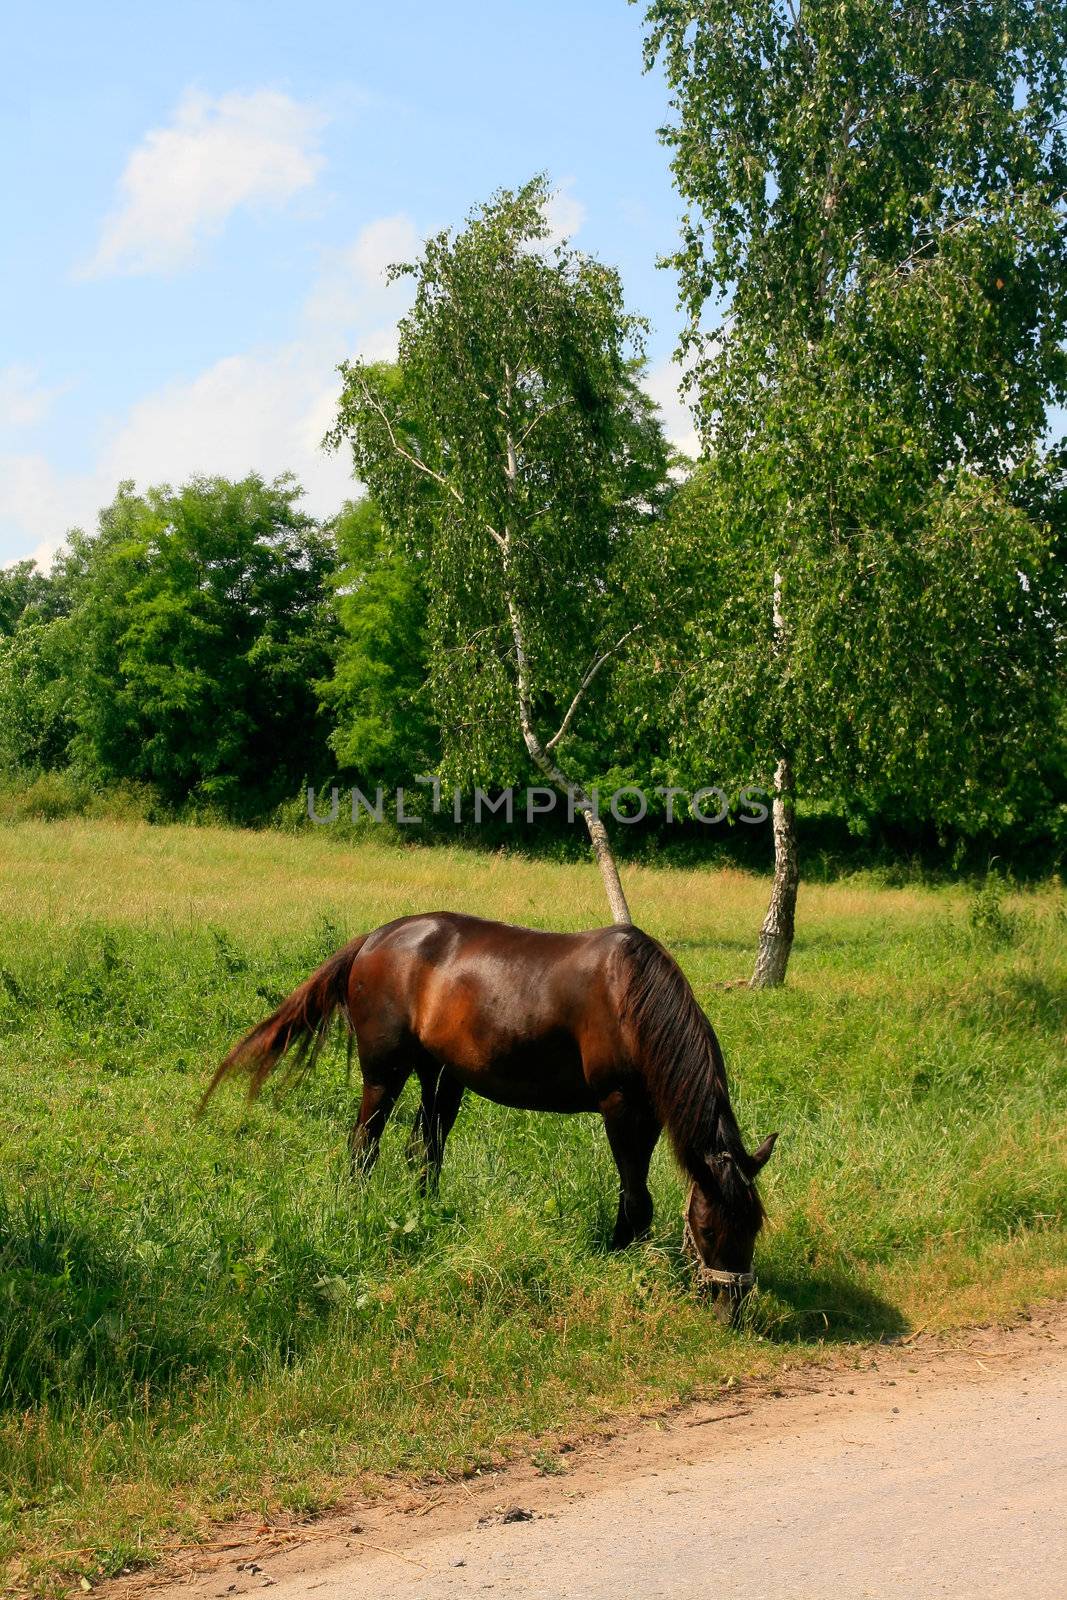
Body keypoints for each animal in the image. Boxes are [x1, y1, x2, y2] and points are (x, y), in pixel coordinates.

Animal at [202, 915, 777, 1299]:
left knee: (424, 1151)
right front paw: (621, 1262)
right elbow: (636, 1197)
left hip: (440, 1074)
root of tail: (376, 937)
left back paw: (427, 1216)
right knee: (365, 1142)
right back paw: (359, 1207)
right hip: (385, 1073)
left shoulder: (651, 1113)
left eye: (753, 1228)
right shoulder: (619, 1106)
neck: (631, 998)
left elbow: (639, 1193)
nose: (731, 1307)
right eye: (709, 1230)